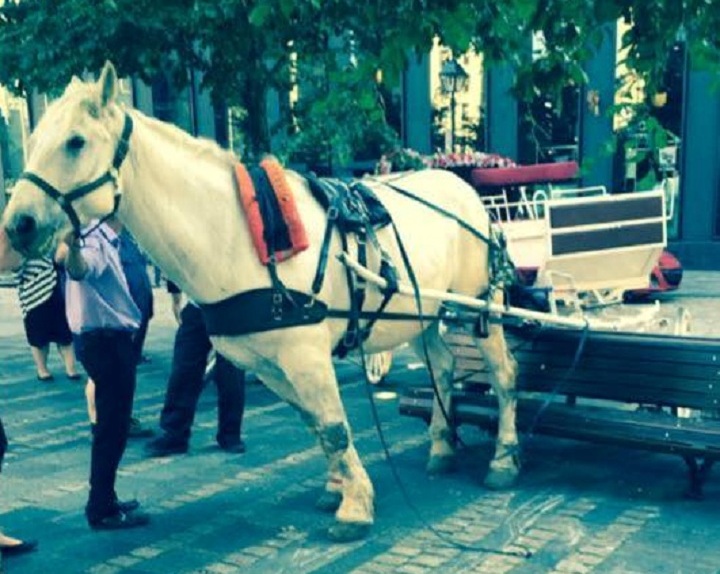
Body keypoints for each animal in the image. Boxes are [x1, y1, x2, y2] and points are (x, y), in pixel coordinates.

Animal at [2, 62, 519, 542]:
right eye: (34, 140)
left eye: (75, 142)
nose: (17, 226)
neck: (241, 235)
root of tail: (464, 189)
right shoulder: (267, 361)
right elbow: (316, 424)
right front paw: (337, 487)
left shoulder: (306, 354)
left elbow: (333, 425)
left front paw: (354, 508)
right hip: (419, 314)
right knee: (443, 366)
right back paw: (442, 447)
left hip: (481, 306)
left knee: (503, 374)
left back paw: (504, 459)